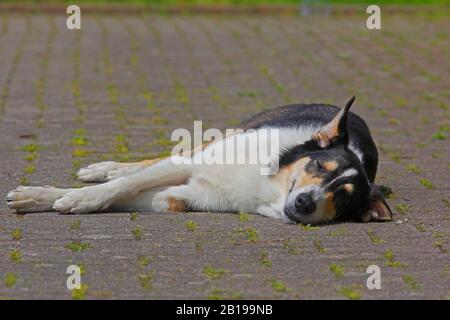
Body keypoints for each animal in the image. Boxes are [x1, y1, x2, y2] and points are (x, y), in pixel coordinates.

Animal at [5, 96, 392, 224]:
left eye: (342, 197)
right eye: (318, 166)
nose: (305, 202)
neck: (269, 183)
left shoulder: (175, 199)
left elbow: (128, 195)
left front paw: (52, 200)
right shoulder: (191, 164)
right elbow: (123, 184)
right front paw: (61, 197)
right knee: (145, 165)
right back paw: (101, 169)